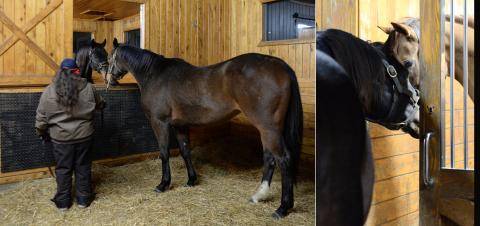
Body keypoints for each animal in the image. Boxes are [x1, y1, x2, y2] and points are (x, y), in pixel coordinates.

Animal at [104, 38, 304, 218]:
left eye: (109, 57)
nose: (109, 80)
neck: (154, 74)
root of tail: (281, 66)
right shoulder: (180, 125)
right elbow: (185, 151)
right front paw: (191, 180)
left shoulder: (159, 122)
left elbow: (164, 153)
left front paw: (163, 184)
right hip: (268, 130)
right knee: (270, 158)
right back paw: (259, 195)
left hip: (268, 128)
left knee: (283, 159)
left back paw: (282, 208)